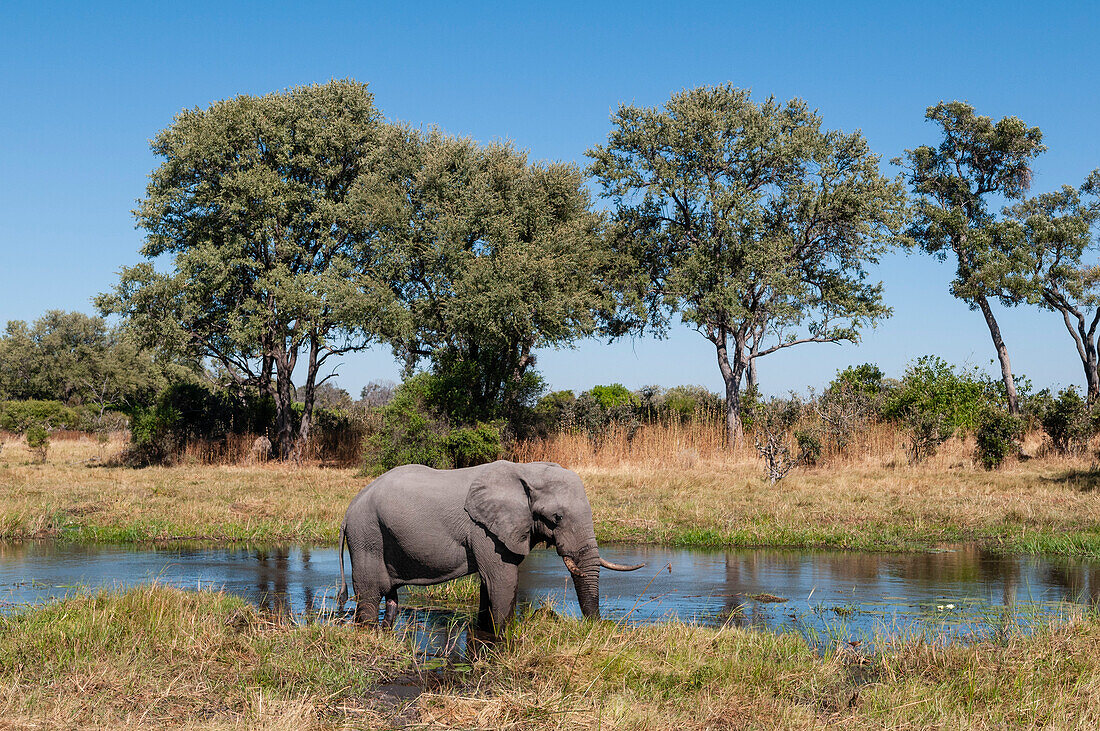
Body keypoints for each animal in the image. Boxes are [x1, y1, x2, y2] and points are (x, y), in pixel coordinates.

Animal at [334, 459, 642, 628]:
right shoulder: (484, 530)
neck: (526, 471)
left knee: (392, 599)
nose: (597, 628)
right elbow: (502, 581)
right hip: (367, 535)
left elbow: (489, 584)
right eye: (557, 517)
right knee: (370, 594)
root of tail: (348, 511)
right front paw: (504, 636)